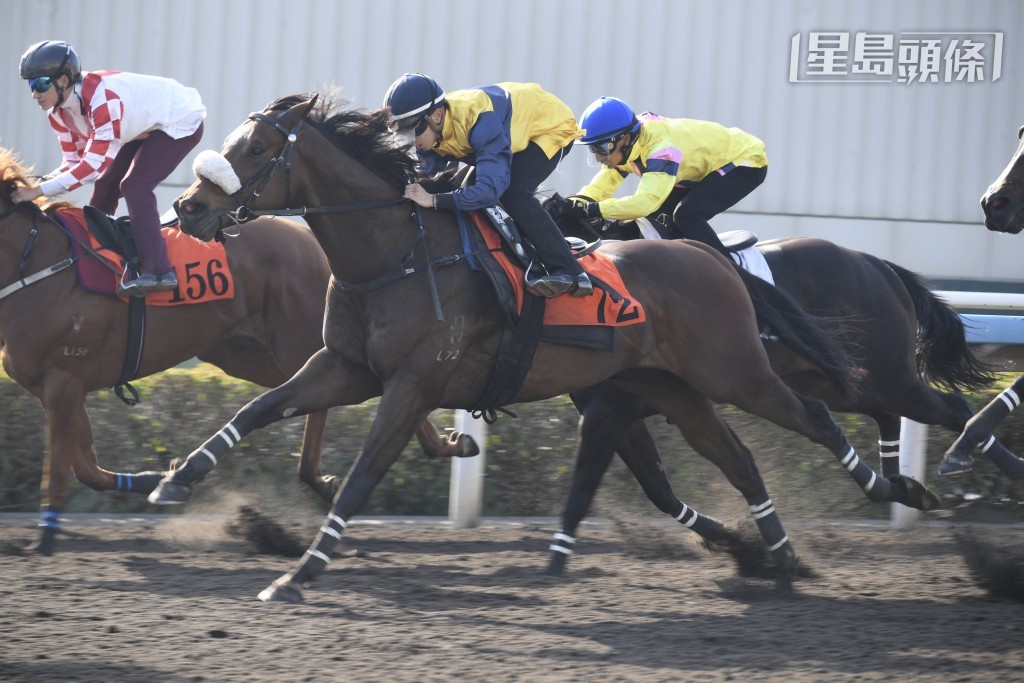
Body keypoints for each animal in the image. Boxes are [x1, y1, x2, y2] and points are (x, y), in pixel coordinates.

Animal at [0, 146, 475, 555]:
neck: (37, 263)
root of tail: (311, 241)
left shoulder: (63, 382)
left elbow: (61, 470)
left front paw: (45, 539)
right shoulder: (61, 388)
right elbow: (86, 466)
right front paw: (153, 477)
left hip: (298, 343)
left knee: (356, 392)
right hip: (252, 356)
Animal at [150, 91, 939, 603]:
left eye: (254, 149)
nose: (187, 207)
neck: (399, 252)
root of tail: (706, 256)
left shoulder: (412, 385)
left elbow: (361, 475)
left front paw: (300, 572)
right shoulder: (345, 368)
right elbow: (257, 410)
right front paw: (175, 480)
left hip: (735, 370)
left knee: (821, 414)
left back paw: (893, 488)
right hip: (672, 387)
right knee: (740, 458)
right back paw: (779, 559)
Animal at [539, 200, 999, 573]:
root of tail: (876, 264)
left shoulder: (615, 408)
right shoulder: (623, 411)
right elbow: (657, 490)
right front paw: (729, 539)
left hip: (887, 377)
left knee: (953, 409)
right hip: (838, 380)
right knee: (886, 415)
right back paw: (904, 485)